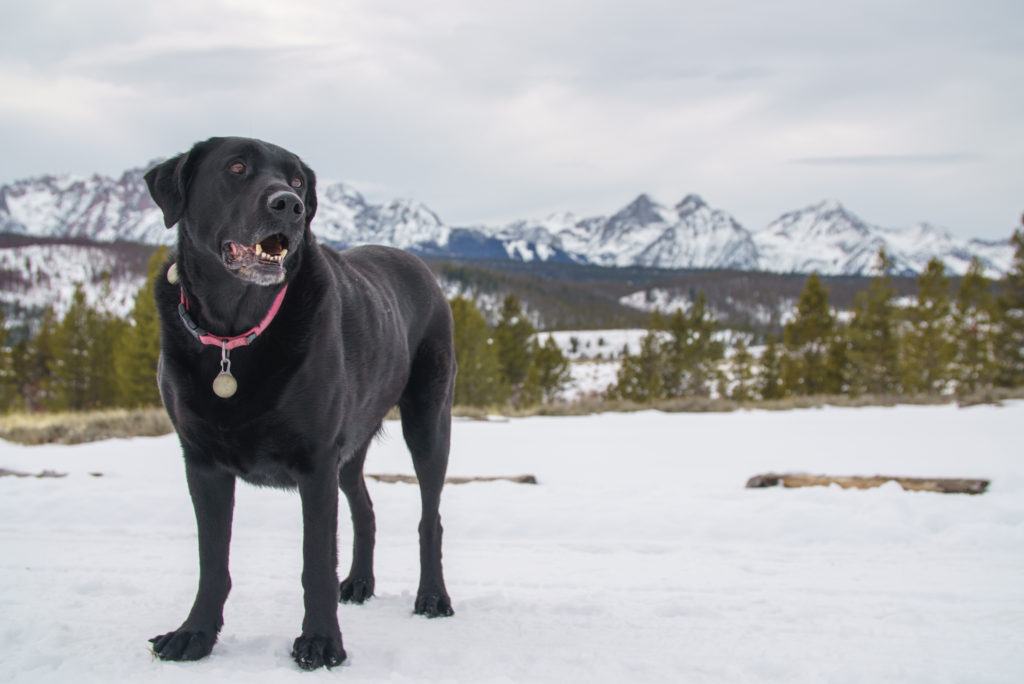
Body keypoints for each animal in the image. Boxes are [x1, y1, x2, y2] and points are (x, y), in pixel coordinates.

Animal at [143, 136, 456, 671]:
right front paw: (195, 634)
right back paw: (359, 582)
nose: (287, 205)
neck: (235, 331)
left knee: (428, 517)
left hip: (427, 421)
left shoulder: (316, 464)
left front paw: (321, 642)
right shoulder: (203, 463)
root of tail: (421, 266)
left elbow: (315, 564)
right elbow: (212, 561)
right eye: (236, 167)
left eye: (296, 181)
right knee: (364, 508)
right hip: (351, 447)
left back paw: (432, 597)